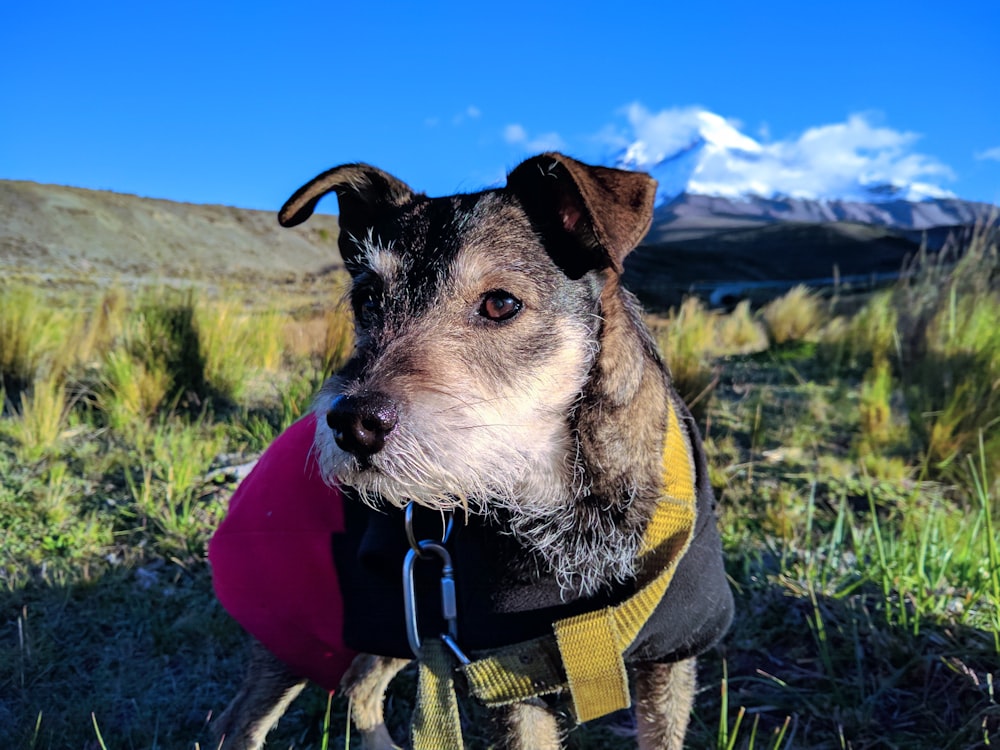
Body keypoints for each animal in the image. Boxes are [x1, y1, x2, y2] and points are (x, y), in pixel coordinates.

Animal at [211, 154, 732, 750]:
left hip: (402, 621)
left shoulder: (670, 659)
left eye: (501, 303)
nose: (352, 424)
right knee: (240, 724)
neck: (570, 497)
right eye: (367, 298)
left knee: (359, 685)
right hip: (300, 631)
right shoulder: (509, 674)